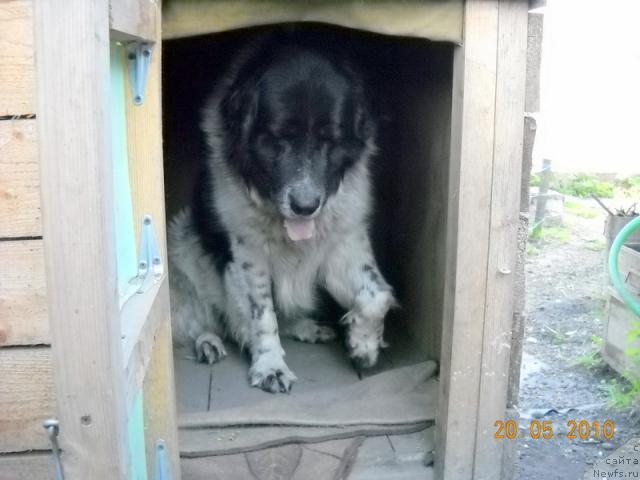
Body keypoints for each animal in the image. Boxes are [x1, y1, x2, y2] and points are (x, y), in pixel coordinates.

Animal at [166, 35, 396, 392]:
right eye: (278, 139)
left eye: (330, 139)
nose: (305, 206)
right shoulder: (247, 255)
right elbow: (262, 315)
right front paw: (270, 366)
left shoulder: (345, 242)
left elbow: (377, 295)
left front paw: (364, 345)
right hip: (182, 247)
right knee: (197, 320)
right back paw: (208, 343)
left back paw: (308, 328)